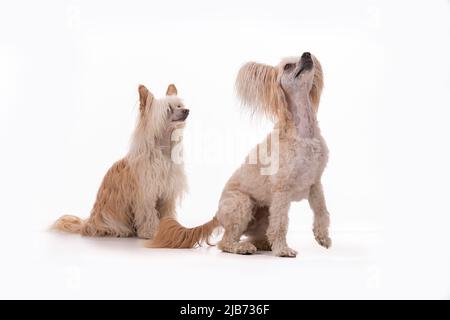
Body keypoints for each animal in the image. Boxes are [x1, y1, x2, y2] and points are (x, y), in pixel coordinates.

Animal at [53, 84, 190, 239]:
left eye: (179, 105)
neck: (162, 152)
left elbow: (167, 213)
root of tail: (88, 224)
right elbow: (148, 214)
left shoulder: (167, 196)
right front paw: (150, 232)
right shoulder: (145, 195)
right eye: (168, 109)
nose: (186, 110)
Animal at [148, 53, 330, 258]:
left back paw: (261, 244)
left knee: (258, 236)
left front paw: (323, 237)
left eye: (303, 55)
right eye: (287, 66)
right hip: (242, 204)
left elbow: (322, 211)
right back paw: (243, 248)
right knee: (225, 242)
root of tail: (216, 215)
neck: (303, 133)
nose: (307, 54)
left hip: (263, 213)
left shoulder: (315, 184)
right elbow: (281, 223)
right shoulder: (282, 190)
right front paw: (283, 249)